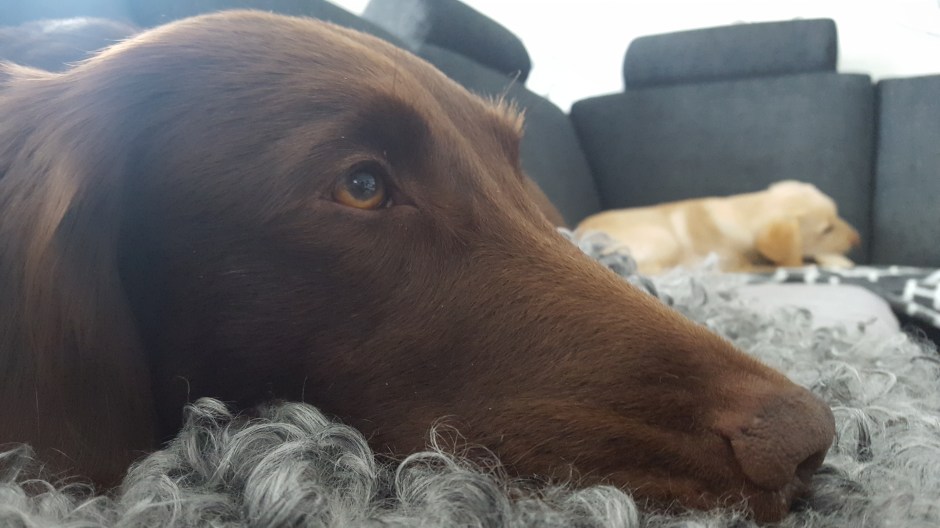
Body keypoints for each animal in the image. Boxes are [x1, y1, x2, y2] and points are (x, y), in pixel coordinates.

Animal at [577, 181, 861, 274]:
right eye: (826, 229)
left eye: (838, 216)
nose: (858, 239)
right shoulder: (741, 266)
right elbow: (788, 263)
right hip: (663, 238)